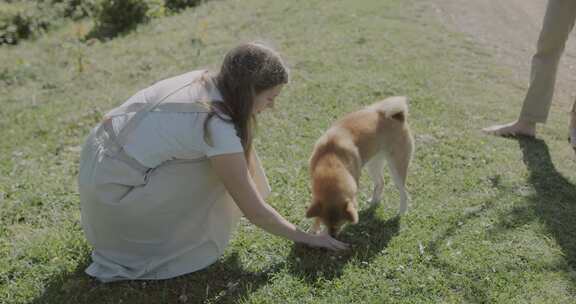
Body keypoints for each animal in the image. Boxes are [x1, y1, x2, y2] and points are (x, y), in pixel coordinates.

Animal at [306, 96, 414, 236]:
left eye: (340, 225)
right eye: (325, 222)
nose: (332, 236)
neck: (331, 158)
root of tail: (398, 117)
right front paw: (313, 229)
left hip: (396, 168)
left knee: (404, 192)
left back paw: (401, 212)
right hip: (373, 164)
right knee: (381, 182)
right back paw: (374, 202)